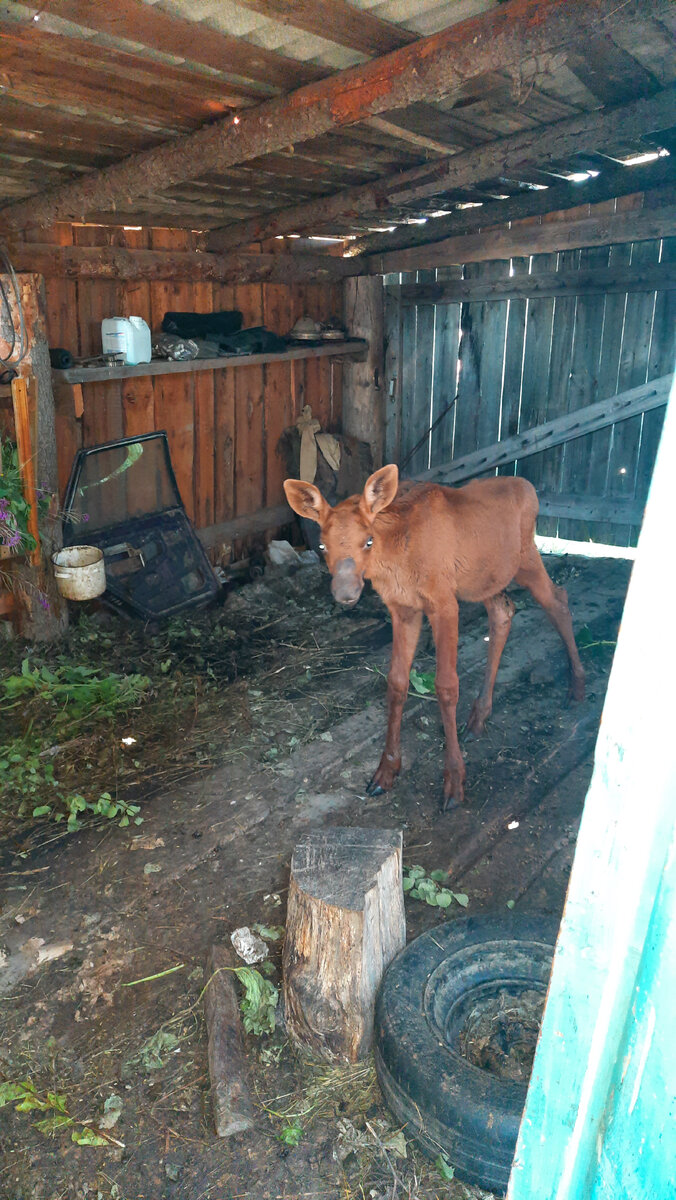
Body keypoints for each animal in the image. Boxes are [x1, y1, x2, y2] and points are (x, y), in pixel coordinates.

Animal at [283, 463, 583, 811]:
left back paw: (577, 687)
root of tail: (530, 488)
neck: (395, 561)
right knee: (504, 612)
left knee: (558, 601)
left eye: (368, 541)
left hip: (525, 559)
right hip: (485, 579)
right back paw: (479, 716)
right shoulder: (403, 608)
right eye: (322, 545)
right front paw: (386, 771)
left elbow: (446, 687)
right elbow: (397, 683)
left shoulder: (444, 603)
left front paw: (454, 781)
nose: (346, 593)